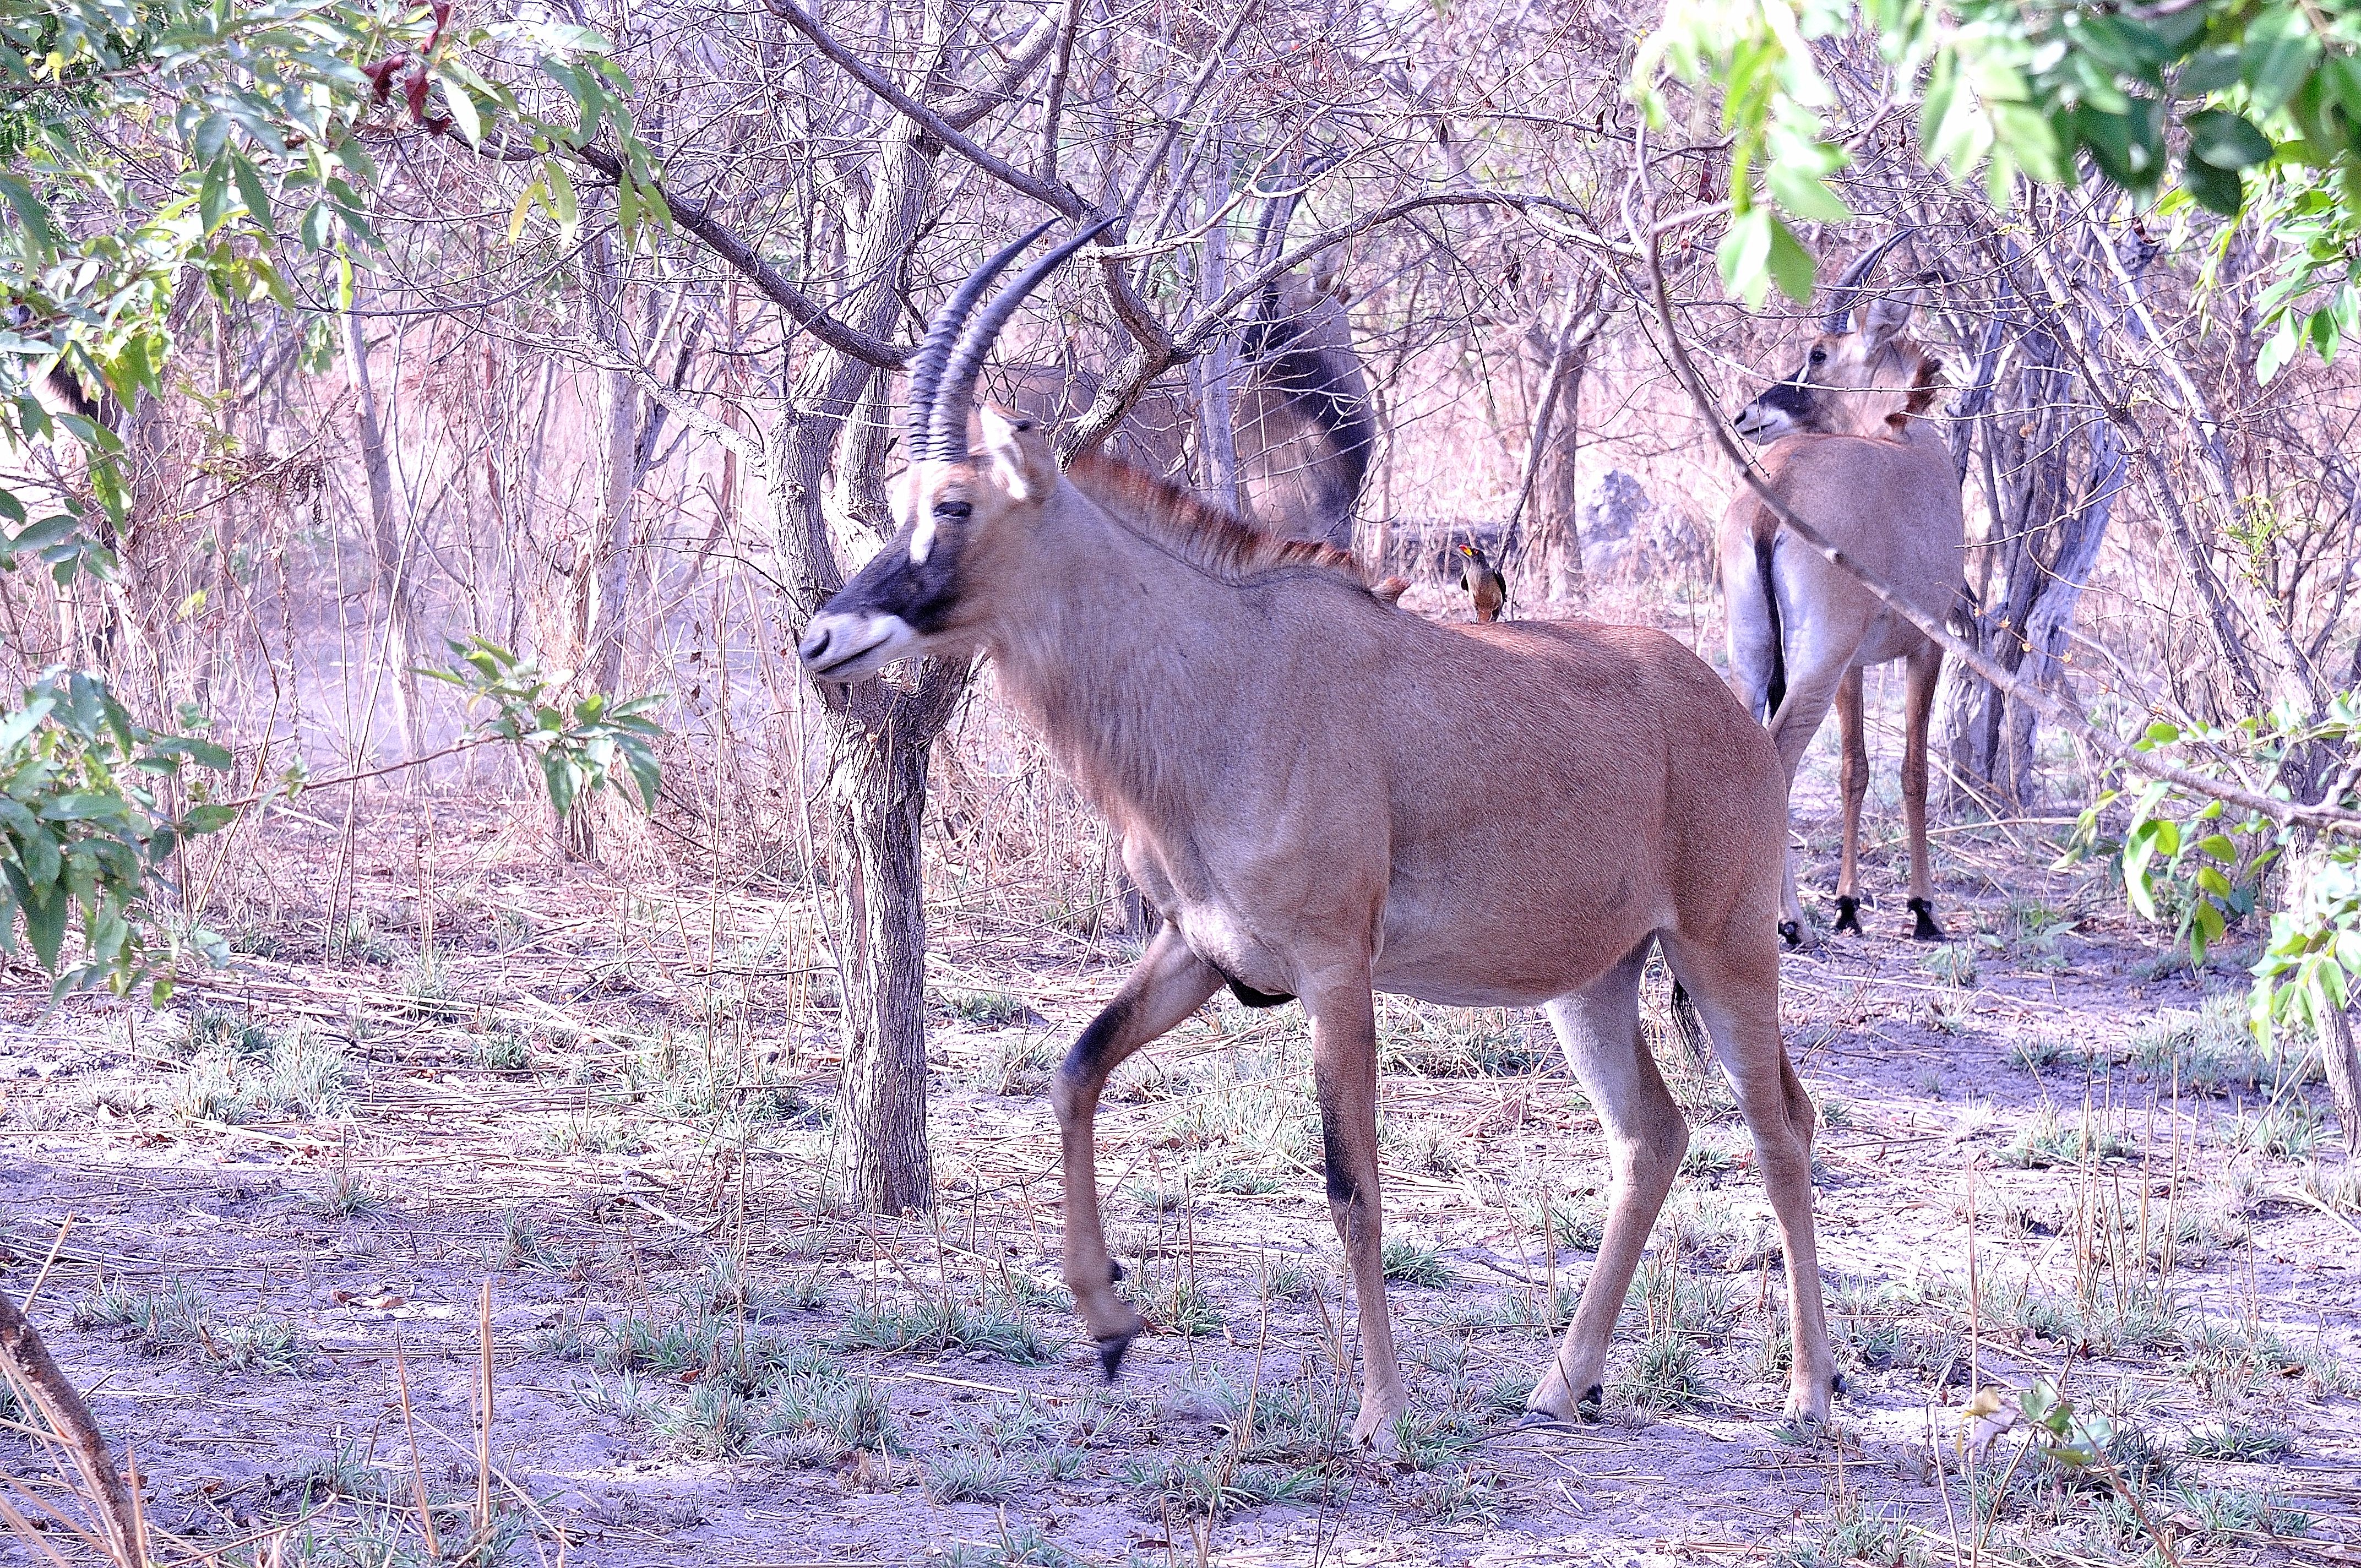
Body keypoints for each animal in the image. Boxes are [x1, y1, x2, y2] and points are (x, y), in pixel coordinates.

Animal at [802, 217, 1851, 1445]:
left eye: (957, 506)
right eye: (901, 499)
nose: (824, 637)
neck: (1227, 669)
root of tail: (1727, 714)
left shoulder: (1333, 969)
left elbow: (1353, 1181)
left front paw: (1381, 1412)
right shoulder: (1200, 951)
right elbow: (1073, 1069)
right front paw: (1107, 1321)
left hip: (1722, 949)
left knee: (1781, 1126)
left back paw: (1807, 1390)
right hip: (1591, 980)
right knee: (1653, 1135)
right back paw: (1564, 1377)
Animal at [1718, 232, 1973, 944]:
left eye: (1817, 353)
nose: (1747, 414)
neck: (1902, 434)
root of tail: (1772, 502)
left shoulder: (1854, 667)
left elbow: (1853, 770)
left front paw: (1850, 903)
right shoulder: (1926, 647)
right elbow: (1912, 771)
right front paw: (1921, 908)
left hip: (1760, 652)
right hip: (1817, 661)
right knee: (1778, 757)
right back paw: (1790, 923)